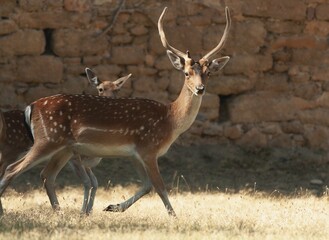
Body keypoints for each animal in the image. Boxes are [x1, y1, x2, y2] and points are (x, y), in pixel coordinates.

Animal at [0, 70, 131, 215]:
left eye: (117, 89)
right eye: (100, 89)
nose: (109, 101)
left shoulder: (85, 162)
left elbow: (95, 182)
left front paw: (89, 211)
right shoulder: (75, 157)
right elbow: (87, 182)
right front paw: (83, 212)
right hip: (17, 150)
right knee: (11, 170)